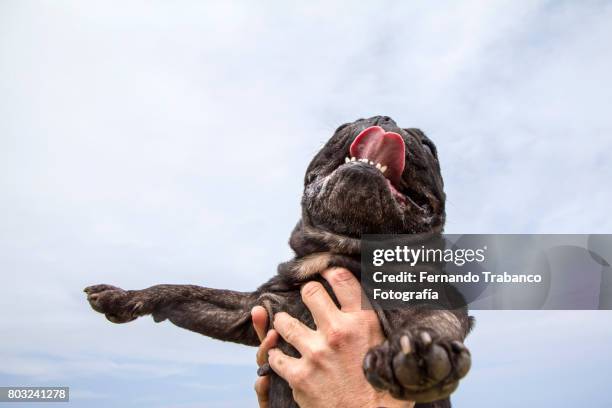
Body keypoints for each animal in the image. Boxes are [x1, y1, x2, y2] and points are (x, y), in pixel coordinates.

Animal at [83, 116, 470, 406]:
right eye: (343, 125)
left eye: (430, 146)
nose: (384, 118)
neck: (343, 249)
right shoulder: (254, 306)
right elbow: (184, 290)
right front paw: (124, 296)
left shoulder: (432, 301)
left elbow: (431, 322)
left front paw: (418, 351)